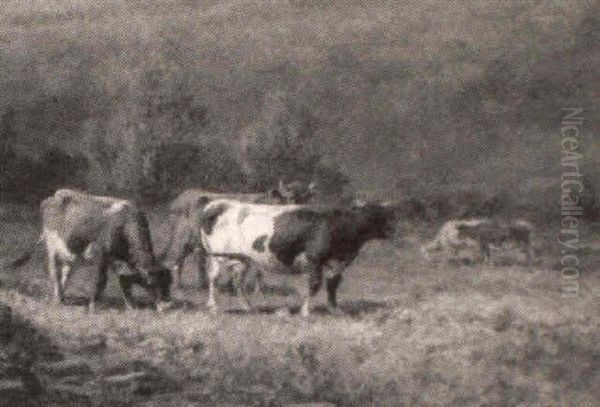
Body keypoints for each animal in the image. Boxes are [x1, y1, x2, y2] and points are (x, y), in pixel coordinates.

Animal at [10, 190, 172, 310]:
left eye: (168, 283)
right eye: (154, 283)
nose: (167, 306)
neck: (124, 225)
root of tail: (55, 196)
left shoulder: (116, 261)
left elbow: (123, 282)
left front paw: (131, 306)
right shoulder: (101, 255)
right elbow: (100, 281)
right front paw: (93, 306)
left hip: (72, 254)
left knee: (66, 274)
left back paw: (62, 297)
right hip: (52, 246)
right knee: (54, 273)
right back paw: (56, 300)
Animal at [159, 180, 318, 288]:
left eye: (305, 199)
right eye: (288, 198)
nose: (298, 208)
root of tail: (182, 196)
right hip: (183, 238)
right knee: (180, 259)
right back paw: (181, 285)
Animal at [198, 199, 398, 318]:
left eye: (388, 214)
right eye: (375, 216)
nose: (392, 230)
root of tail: (221, 204)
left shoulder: (337, 263)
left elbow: (332, 285)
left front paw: (334, 309)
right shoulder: (315, 260)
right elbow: (314, 285)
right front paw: (306, 311)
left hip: (241, 259)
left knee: (236, 282)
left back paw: (249, 307)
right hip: (219, 256)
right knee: (214, 278)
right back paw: (214, 307)